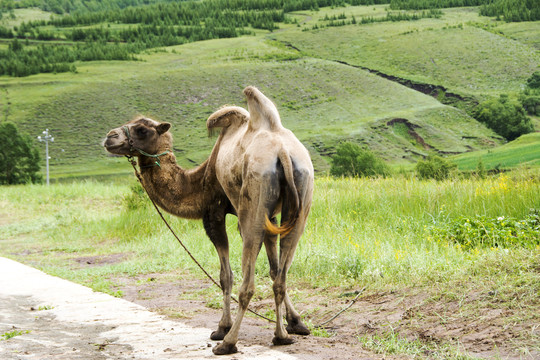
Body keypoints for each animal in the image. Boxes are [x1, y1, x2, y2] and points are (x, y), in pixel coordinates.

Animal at [103, 85, 314, 354]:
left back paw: (229, 342)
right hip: (301, 196)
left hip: (254, 204)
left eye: (142, 129)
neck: (200, 179)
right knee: (281, 277)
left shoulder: (214, 212)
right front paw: (295, 323)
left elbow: (226, 276)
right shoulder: (273, 216)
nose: (109, 137)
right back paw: (281, 337)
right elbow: (274, 269)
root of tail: (283, 153)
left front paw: (221, 327)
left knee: (247, 284)